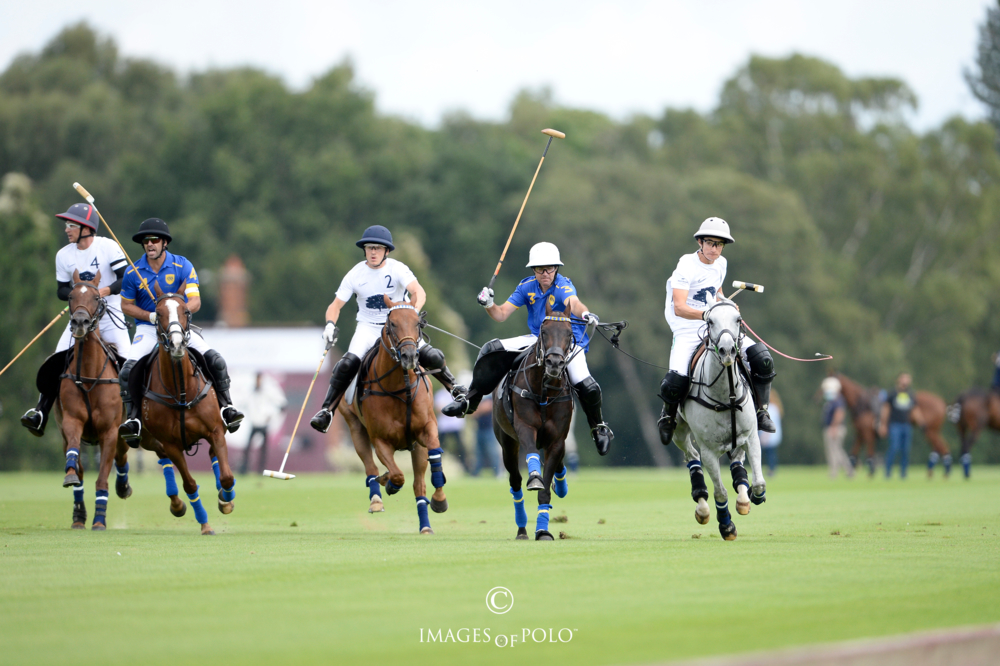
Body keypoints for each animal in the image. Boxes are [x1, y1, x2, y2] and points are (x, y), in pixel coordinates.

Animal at [51, 272, 124, 528]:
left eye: (95, 297)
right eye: (71, 296)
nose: (80, 322)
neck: (90, 374)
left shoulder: (110, 431)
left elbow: (102, 478)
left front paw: (99, 520)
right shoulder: (71, 421)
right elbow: (74, 460)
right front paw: (70, 476)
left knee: (122, 458)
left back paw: (123, 486)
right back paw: (78, 515)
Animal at [115, 282, 236, 536]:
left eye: (186, 311)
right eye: (158, 313)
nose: (178, 344)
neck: (181, 392)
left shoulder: (215, 431)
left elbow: (227, 477)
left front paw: (225, 500)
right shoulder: (170, 444)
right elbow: (189, 484)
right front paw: (205, 524)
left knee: (213, 455)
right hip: (146, 439)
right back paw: (175, 503)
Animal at [340, 296, 446, 536]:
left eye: (417, 323)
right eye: (392, 324)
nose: (409, 356)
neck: (400, 387)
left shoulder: (426, 430)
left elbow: (435, 456)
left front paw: (439, 499)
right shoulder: (380, 440)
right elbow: (397, 474)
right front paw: (389, 483)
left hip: (416, 447)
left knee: (419, 485)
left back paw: (425, 526)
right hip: (354, 426)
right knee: (370, 466)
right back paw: (377, 497)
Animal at [494, 300, 576, 540]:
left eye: (569, 333)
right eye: (544, 330)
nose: (554, 363)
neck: (544, 392)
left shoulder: (557, 440)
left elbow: (546, 492)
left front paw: (543, 531)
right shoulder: (525, 427)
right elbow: (532, 458)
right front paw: (535, 478)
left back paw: (561, 485)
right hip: (507, 444)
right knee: (515, 483)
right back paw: (521, 528)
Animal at [672, 300, 764, 540]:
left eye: (738, 319)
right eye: (710, 321)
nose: (728, 351)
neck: (726, 395)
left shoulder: (751, 437)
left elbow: (759, 483)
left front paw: (753, 496)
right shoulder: (709, 451)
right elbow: (720, 492)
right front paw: (726, 526)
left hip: (738, 439)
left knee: (737, 462)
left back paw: (743, 498)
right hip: (679, 432)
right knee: (692, 457)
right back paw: (702, 507)